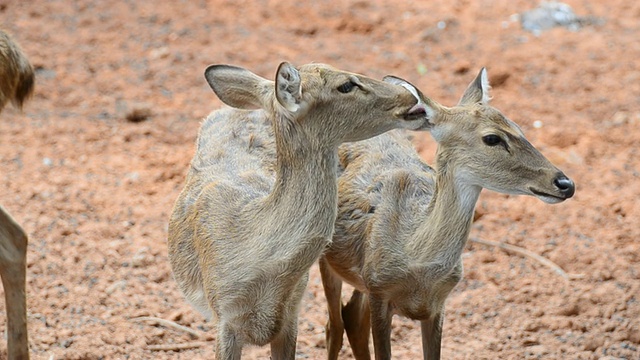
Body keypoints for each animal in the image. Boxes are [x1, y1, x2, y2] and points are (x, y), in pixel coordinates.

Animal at [318, 68, 576, 360]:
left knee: (351, 318)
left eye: (519, 128)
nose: (565, 184)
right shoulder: (379, 292)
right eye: (492, 138)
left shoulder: (437, 303)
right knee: (334, 326)